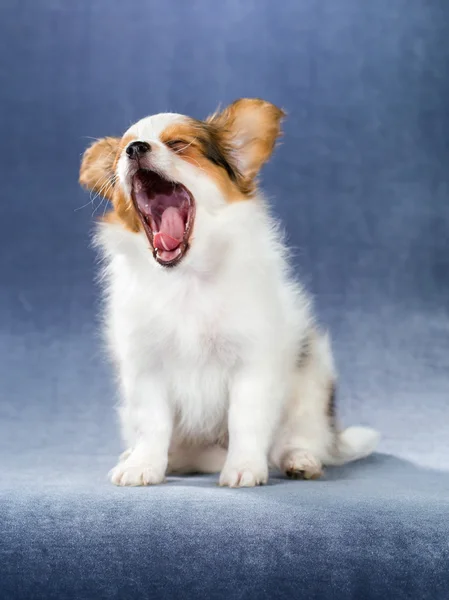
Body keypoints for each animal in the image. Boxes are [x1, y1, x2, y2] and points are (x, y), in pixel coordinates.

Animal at [79, 97, 376, 488]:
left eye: (179, 145)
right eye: (122, 152)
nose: (135, 149)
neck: (186, 278)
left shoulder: (251, 363)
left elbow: (245, 420)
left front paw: (244, 467)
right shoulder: (146, 366)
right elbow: (153, 423)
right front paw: (143, 464)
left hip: (311, 384)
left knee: (297, 438)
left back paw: (301, 460)